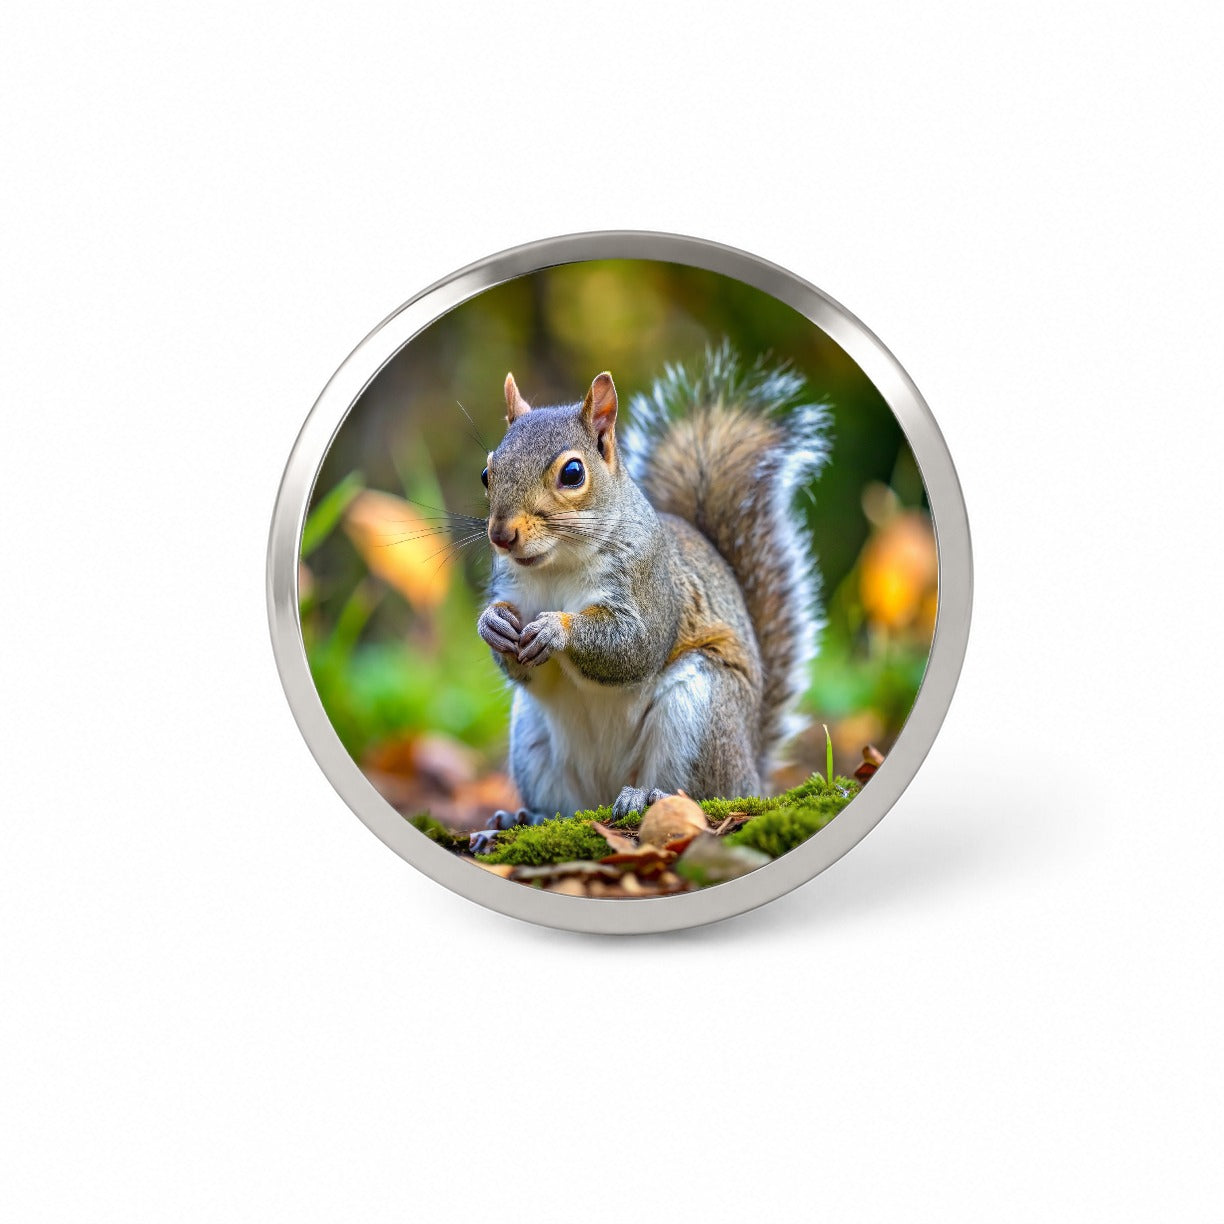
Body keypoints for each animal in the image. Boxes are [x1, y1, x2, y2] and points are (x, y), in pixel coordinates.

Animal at [475, 343, 830, 831]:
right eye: (487, 473)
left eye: (573, 473)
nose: (501, 535)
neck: (556, 566)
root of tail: (752, 774)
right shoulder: (512, 588)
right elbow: (520, 665)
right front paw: (491, 623)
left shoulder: (651, 586)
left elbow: (635, 645)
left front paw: (556, 629)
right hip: (532, 737)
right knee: (562, 807)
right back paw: (518, 819)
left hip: (700, 712)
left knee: (703, 793)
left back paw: (647, 797)